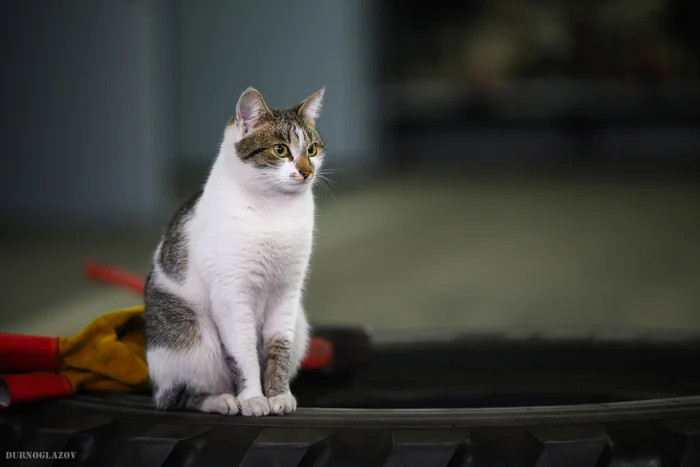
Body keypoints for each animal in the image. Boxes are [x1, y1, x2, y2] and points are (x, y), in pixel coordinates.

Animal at [144, 87, 328, 416]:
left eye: (311, 149)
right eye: (280, 150)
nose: (306, 172)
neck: (274, 211)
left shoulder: (287, 293)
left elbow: (278, 348)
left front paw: (278, 394)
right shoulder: (232, 296)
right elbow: (243, 354)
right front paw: (253, 398)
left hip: (301, 325)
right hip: (193, 340)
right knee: (179, 397)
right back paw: (222, 400)